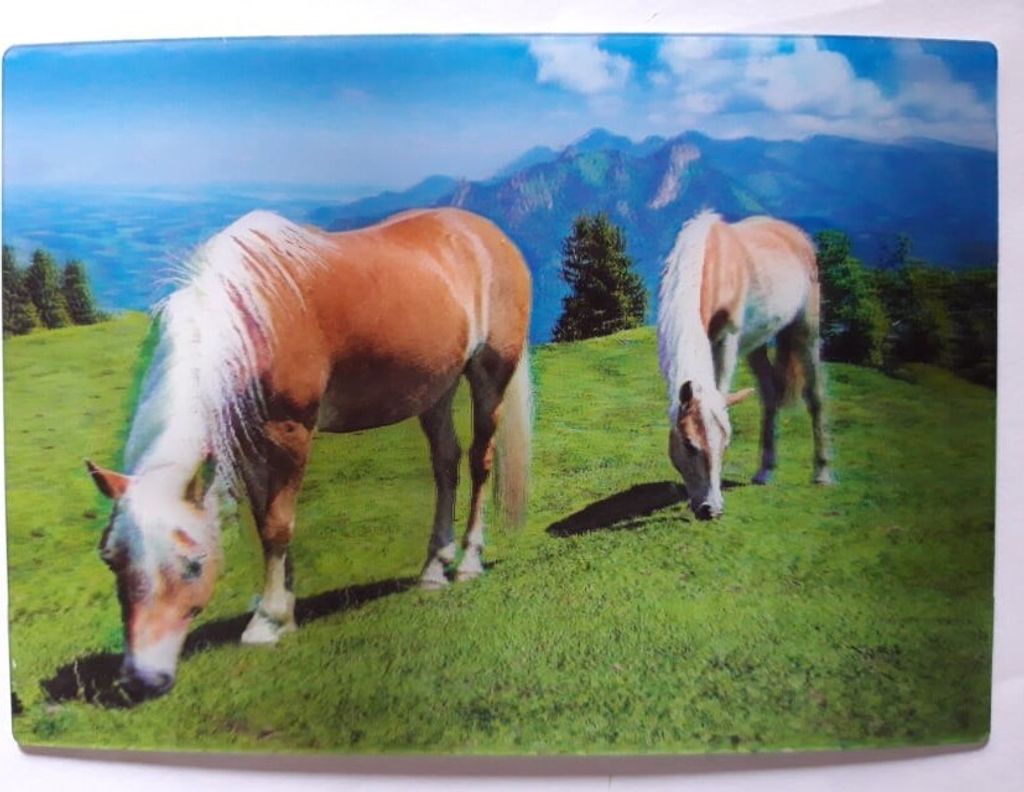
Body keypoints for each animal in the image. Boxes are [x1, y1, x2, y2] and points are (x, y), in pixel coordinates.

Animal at [86, 207, 532, 698]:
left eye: (193, 564)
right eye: (110, 559)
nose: (141, 680)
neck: (250, 321)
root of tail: (486, 234)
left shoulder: (289, 433)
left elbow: (278, 525)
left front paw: (267, 621)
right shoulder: (249, 441)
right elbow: (265, 522)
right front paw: (282, 605)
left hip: (490, 376)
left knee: (479, 462)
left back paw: (468, 562)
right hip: (435, 388)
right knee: (446, 464)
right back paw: (434, 568)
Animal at [657, 209, 831, 520]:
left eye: (726, 443)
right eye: (688, 444)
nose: (710, 510)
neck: (711, 264)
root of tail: (795, 235)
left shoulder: (727, 338)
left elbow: (720, 390)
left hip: (806, 327)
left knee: (815, 395)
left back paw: (821, 474)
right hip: (757, 342)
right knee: (770, 396)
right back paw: (765, 471)